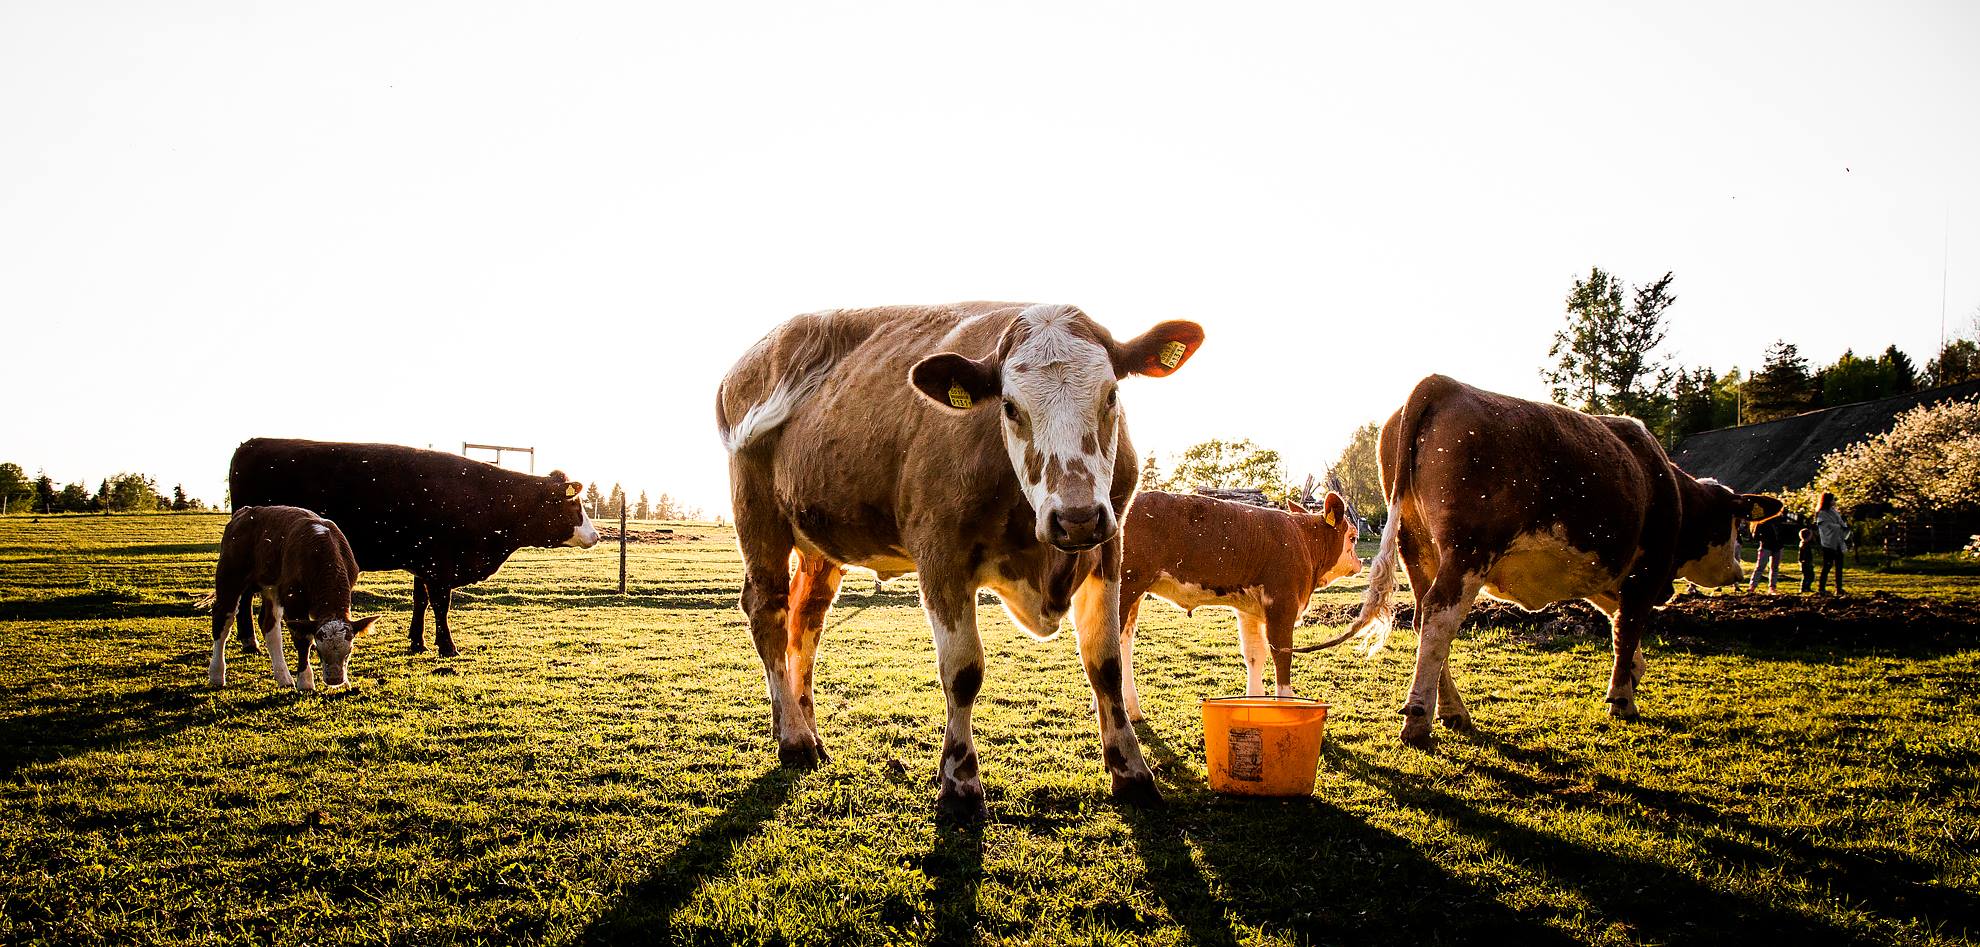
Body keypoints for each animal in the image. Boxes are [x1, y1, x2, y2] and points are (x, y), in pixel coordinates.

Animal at [208, 507, 378, 693]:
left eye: (349, 651)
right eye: (319, 651)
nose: (335, 679)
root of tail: (245, 511)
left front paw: (345, 683)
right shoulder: (293, 598)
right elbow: (303, 639)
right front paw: (305, 681)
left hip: (271, 587)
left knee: (268, 624)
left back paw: (283, 677)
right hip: (230, 577)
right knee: (223, 618)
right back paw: (216, 674)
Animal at [227, 437, 597, 653]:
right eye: (574, 505)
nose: (595, 536)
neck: (485, 497)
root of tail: (250, 445)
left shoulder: (423, 562)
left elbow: (420, 601)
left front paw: (417, 642)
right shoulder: (439, 563)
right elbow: (441, 605)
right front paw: (447, 646)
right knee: (242, 597)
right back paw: (249, 640)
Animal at [716, 303, 1203, 820]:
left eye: (1111, 395)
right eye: (1009, 406)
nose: (1075, 518)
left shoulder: (1109, 546)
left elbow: (1105, 663)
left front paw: (1132, 773)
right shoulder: (940, 553)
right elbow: (963, 670)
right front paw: (960, 781)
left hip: (819, 546)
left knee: (805, 622)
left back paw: (805, 725)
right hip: (758, 515)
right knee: (768, 611)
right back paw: (793, 739)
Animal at [1124, 491, 1370, 713]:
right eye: (1353, 537)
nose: (1360, 562)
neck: (1303, 540)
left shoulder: (1249, 610)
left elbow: (1254, 654)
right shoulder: (1282, 602)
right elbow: (1282, 655)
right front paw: (1286, 706)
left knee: (1125, 640)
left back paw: (1132, 709)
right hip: (1128, 586)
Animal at [1330, 376, 1782, 748]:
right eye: (1735, 521)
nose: (1738, 569)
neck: (1669, 485)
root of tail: (1443, 384)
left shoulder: (1607, 573)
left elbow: (1620, 624)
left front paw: (1633, 673)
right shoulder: (1646, 571)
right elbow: (1628, 627)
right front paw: (1622, 699)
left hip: (1418, 549)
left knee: (1423, 617)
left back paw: (1453, 711)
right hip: (1467, 552)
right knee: (1440, 619)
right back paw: (1420, 719)